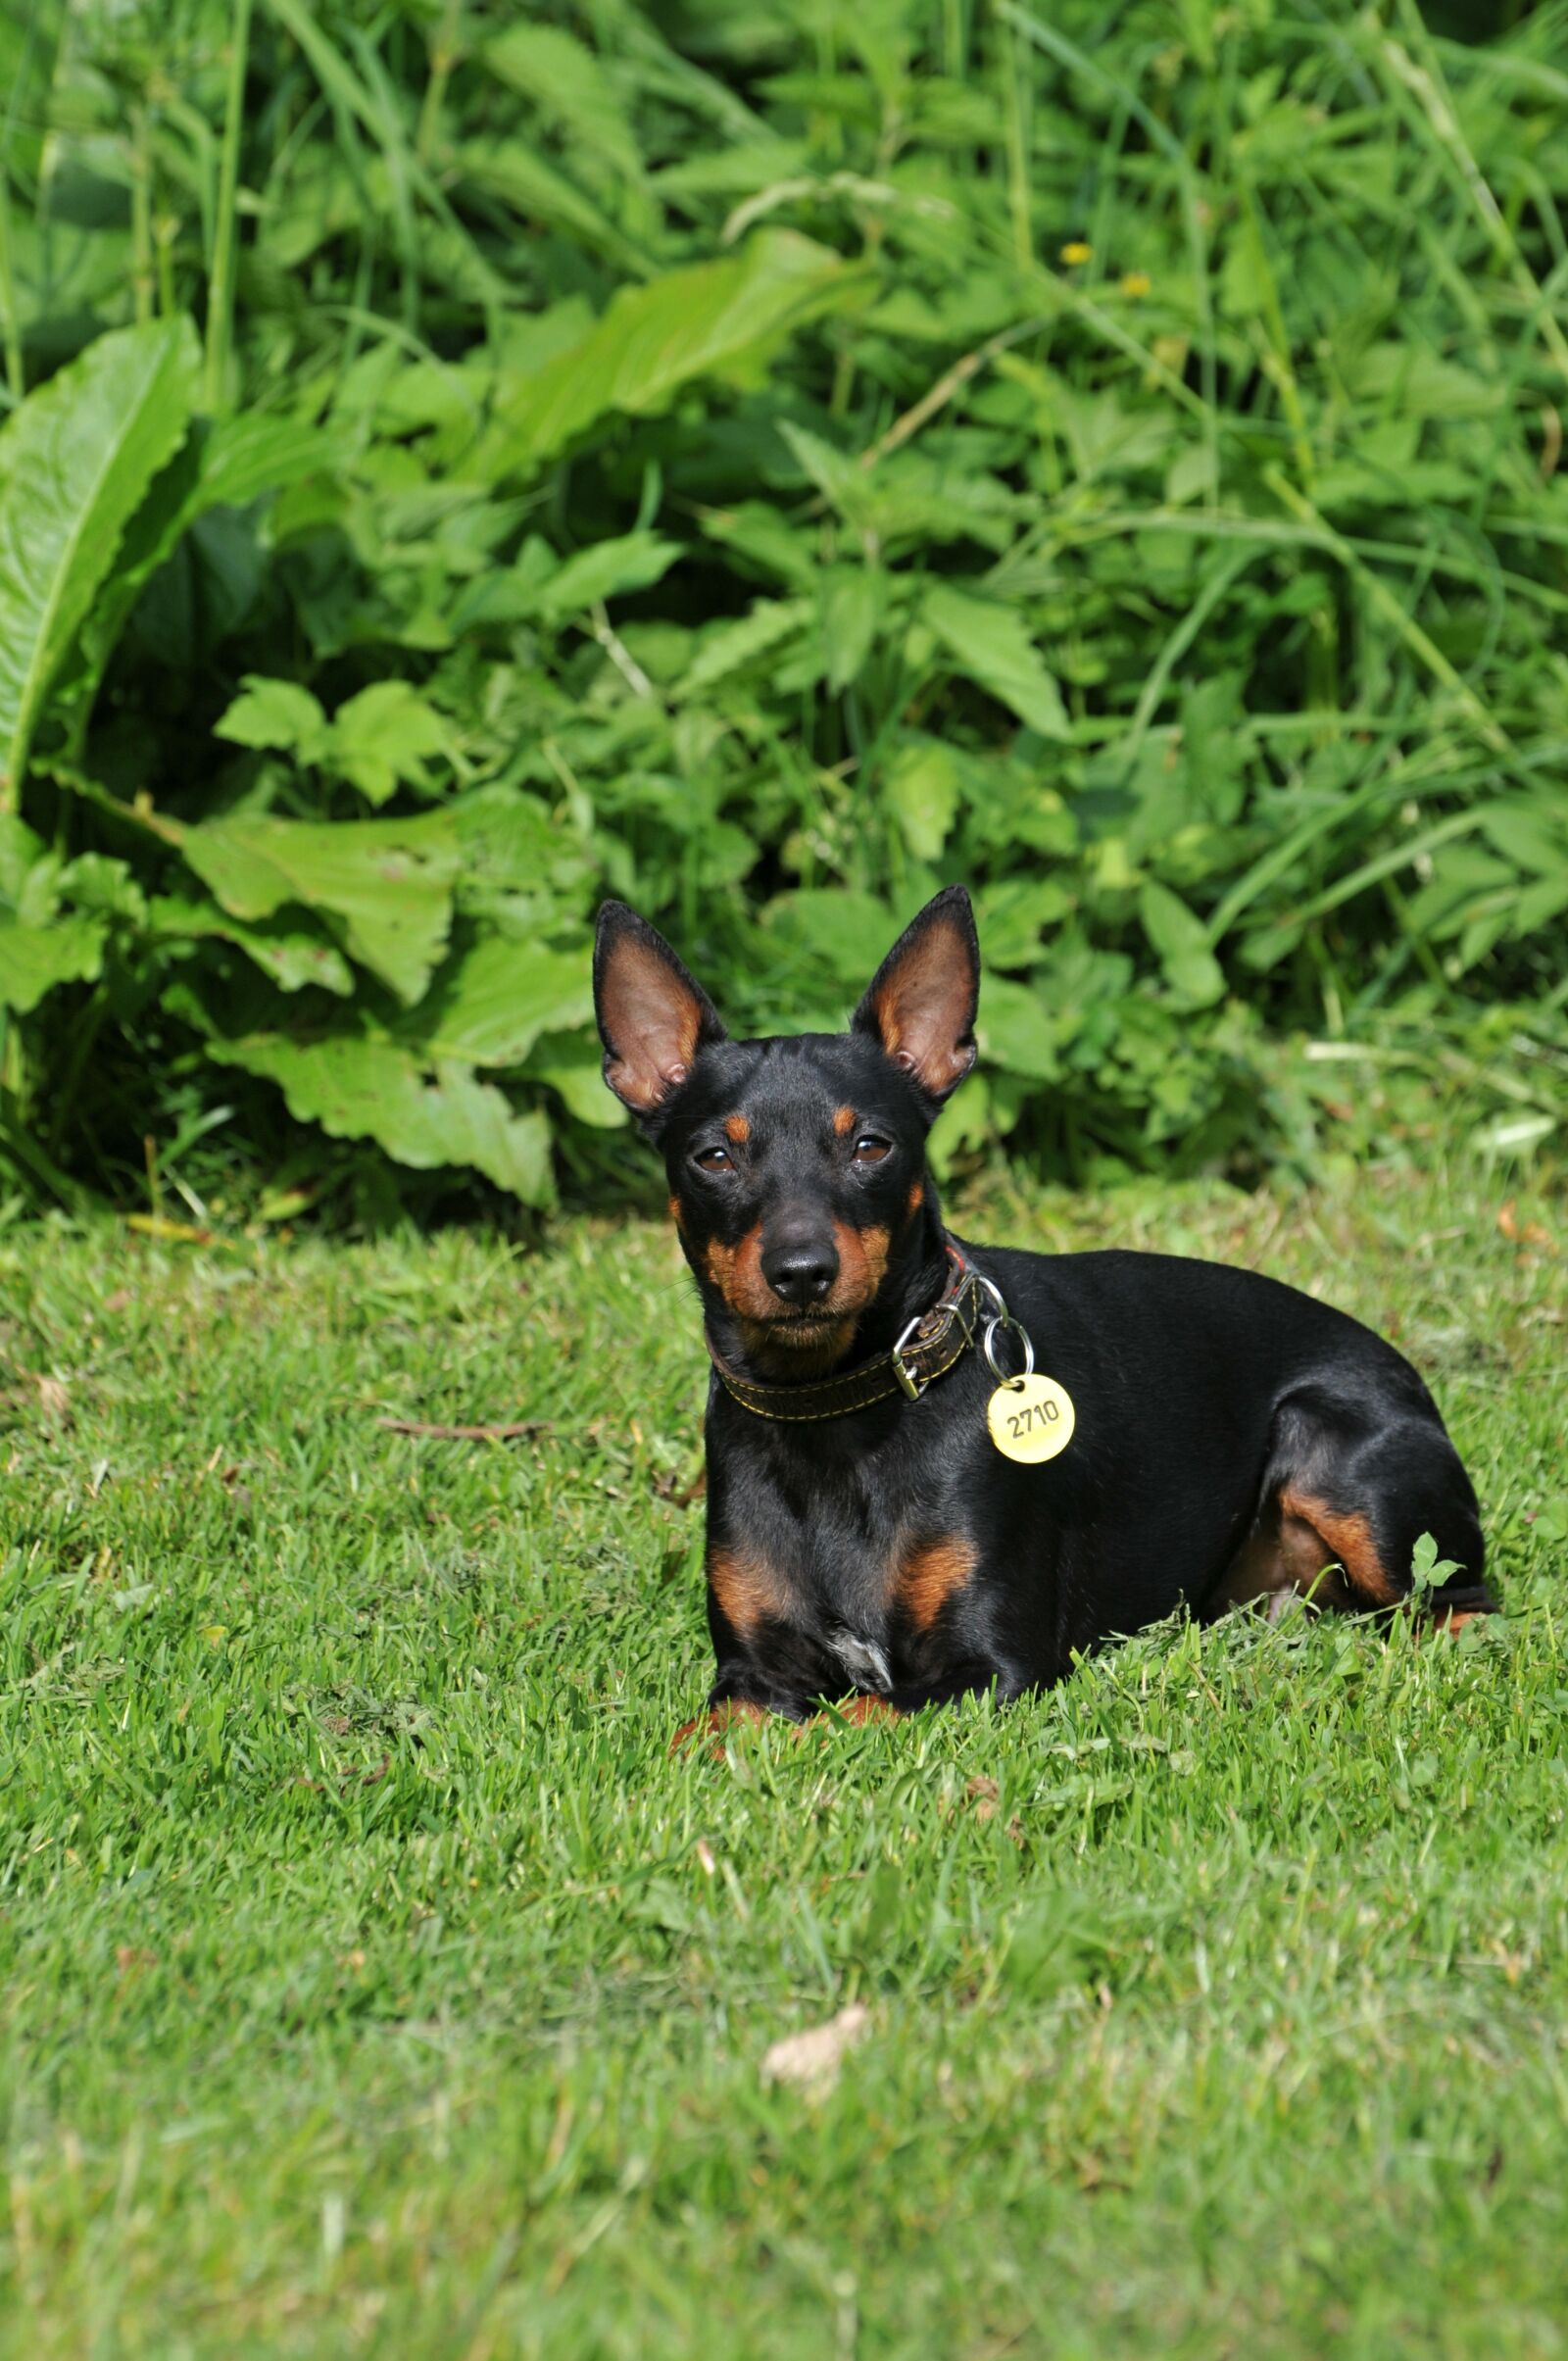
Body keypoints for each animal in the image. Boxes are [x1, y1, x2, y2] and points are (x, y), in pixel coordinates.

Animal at [590, 887, 1492, 1738]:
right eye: (713, 1156)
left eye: (872, 1145)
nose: (802, 1273)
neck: (835, 1417)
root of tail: (1408, 1374)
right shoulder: (753, 1676)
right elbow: (700, 1737)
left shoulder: (992, 1666)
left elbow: (851, 1716)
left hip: (1345, 1469)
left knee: (1462, 1609)